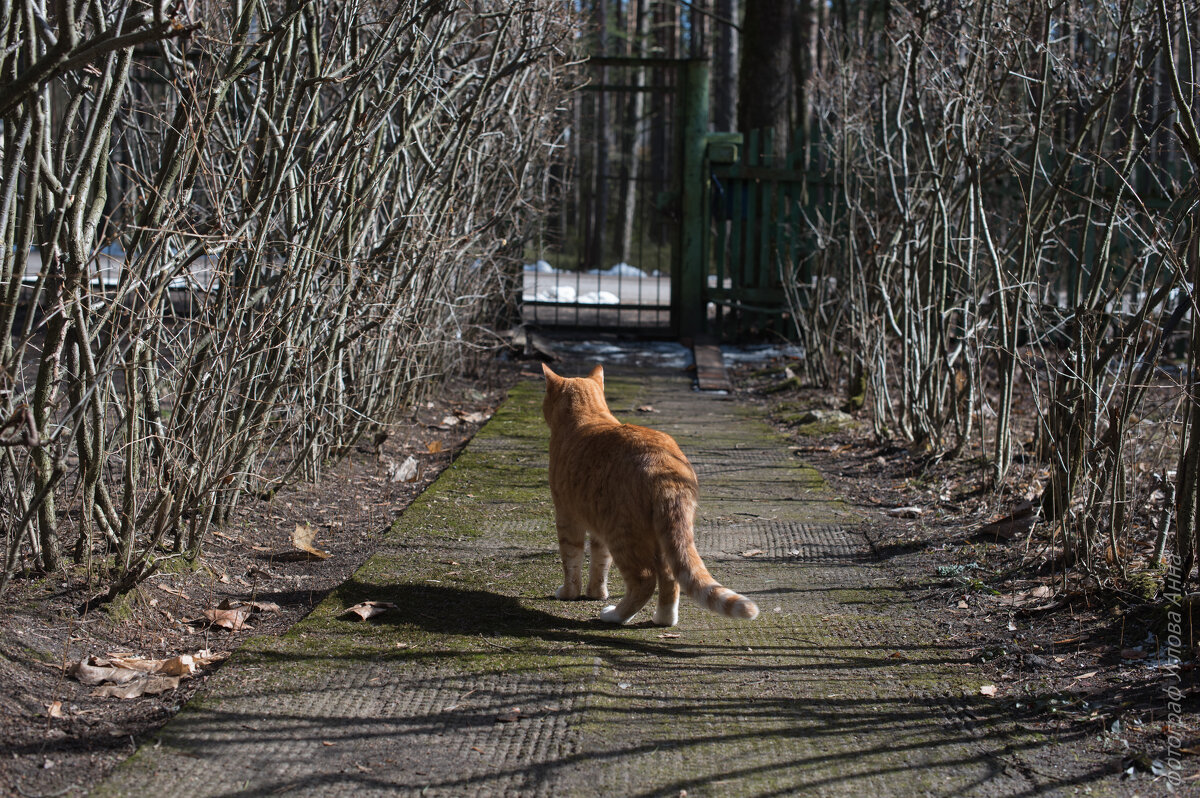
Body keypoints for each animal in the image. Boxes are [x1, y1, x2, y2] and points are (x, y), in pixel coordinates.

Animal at [544, 364, 758, 624]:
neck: (588, 415)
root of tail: (663, 465)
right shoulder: (596, 525)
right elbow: (599, 562)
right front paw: (596, 593)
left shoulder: (568, 517)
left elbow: (571, 560)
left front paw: (569, 593)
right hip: (662, 535)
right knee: (670, 578)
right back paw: (663, 618)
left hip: (622, 533)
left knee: (645, 580)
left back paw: (615, 616)